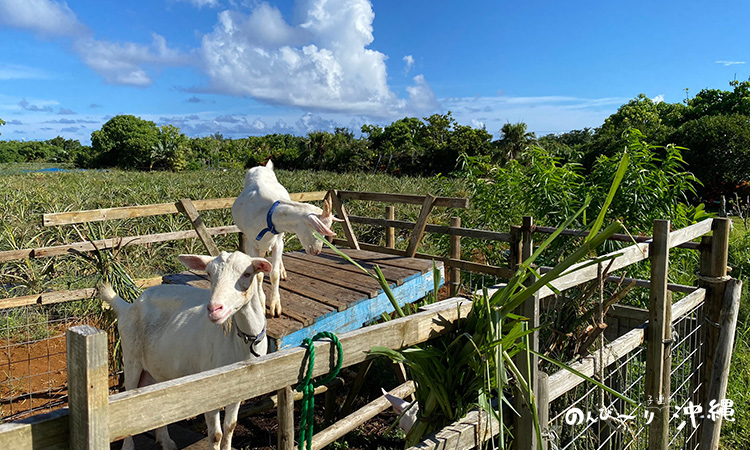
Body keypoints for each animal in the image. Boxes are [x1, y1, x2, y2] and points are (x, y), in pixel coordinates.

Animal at [98, 251, 272, 450]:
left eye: (247, 274)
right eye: (209, 274)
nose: (214, 309)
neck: (241, 343)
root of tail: (128, 305)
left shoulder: (239, 387)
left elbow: (230, 427)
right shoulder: (209, 384)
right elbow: (216, 435)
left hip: (158, 367)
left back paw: (166, 441)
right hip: (130, 358)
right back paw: (129, 446)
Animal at [234, 160, 342, 318]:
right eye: (317, 231)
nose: (316, 251)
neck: (268, 216)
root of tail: (263, 167)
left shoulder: (278, 241)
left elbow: (274, 275)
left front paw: (275, 306)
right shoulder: (251, 242)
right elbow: (258, 276)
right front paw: (261, 304)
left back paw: (282, 270)